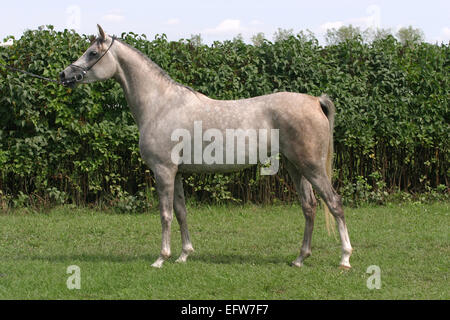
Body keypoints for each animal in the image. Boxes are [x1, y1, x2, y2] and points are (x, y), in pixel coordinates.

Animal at [60, 25, 356, 268]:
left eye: (92, 52)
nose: (64, 75)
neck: (161, 104)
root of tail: (315, 101)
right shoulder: (177, 173)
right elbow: (181, 212)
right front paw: (183, 255)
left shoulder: (163, 171)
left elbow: (165, 214)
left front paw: (161, 258)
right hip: (296, 167)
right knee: (309, 206)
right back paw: (299, 258)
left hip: (312, 167)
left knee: (334, 203)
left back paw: (344, 258)